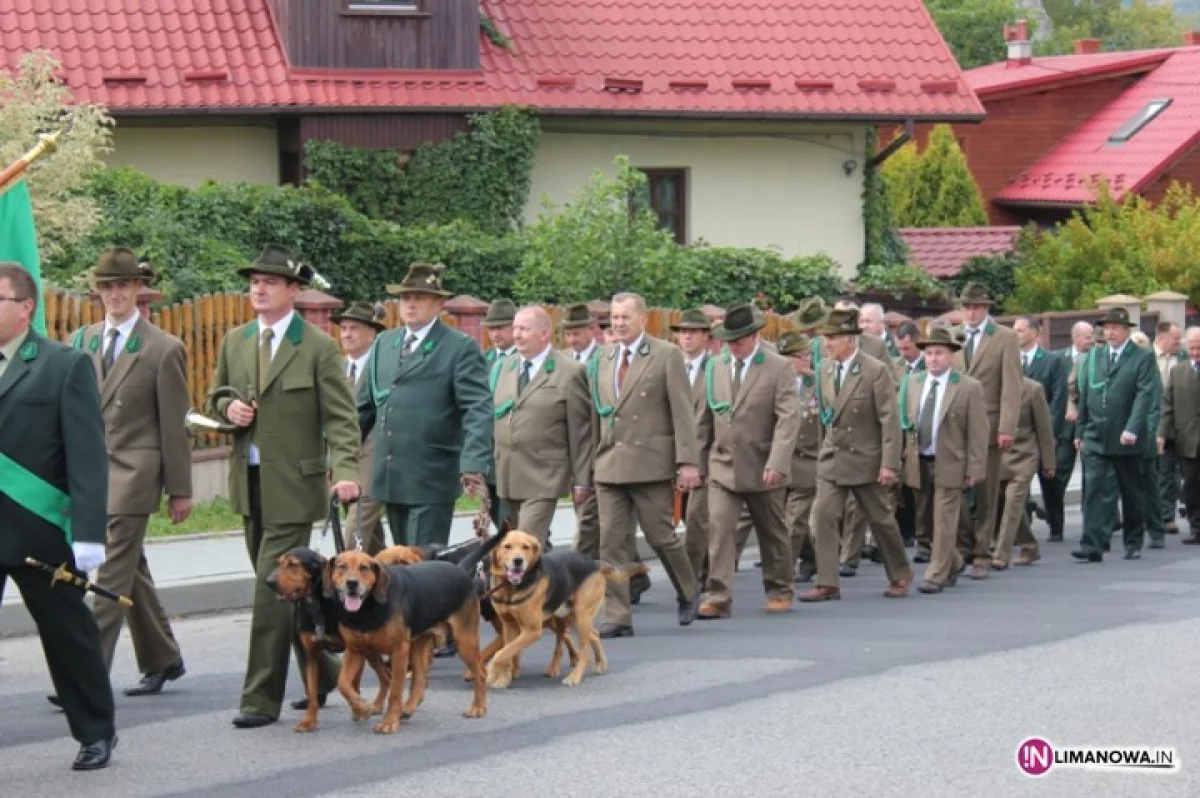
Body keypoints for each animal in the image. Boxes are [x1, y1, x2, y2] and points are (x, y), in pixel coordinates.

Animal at [266, 552, 388, 729]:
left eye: (293, 564)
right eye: (279, 563)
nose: (268, 582)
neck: (317, 603)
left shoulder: (353, 650)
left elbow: (348, 684)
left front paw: (359, 709)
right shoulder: (311, 656)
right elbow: (312, 692)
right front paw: (309, 720)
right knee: (386, 676)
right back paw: (378, 706)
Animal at [326, 552, 489, 729]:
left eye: (364, 567)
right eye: (342, 566)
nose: (352, 583)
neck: (368, 608)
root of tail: (459, 569)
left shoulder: (399, 650)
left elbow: (395, 690)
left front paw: (389, 722)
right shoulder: (355, 649)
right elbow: (343, 684)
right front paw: (362, 708)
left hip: (465, 642)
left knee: (480, 674)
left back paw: (478, 708)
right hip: (417, 645)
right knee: (420, 680)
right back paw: (408, 707)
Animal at [487, 525, 652, 686]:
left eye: (525, 547)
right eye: (507, 546)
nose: (518, 560)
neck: (511, 588)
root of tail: (595, 563)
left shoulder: (532, 631)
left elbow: (501, 653)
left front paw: (490, 672)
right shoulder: (509, 625)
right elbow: (507, 653)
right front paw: (503, 679)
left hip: (581, 616)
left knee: (584, 651)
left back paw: (575, 676)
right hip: (573, 617)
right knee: (594, 634)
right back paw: (600, 663)